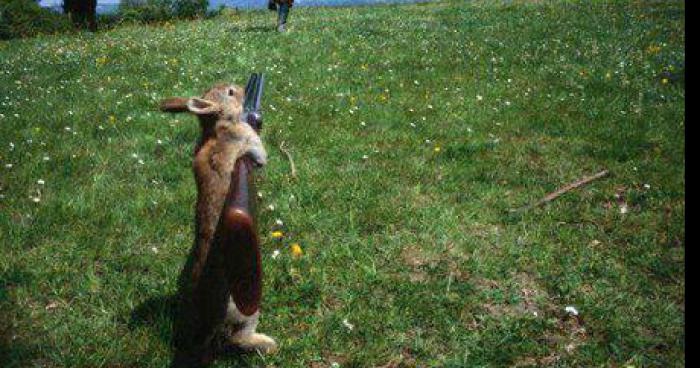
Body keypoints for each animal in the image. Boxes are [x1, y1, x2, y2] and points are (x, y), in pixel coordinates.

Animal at [161, 83, 276, 366]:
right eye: (231, 93)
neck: (217, 128)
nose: (243, 88)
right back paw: (268, 343)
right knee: (239, 337)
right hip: (247, 304)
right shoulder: (245, 138)